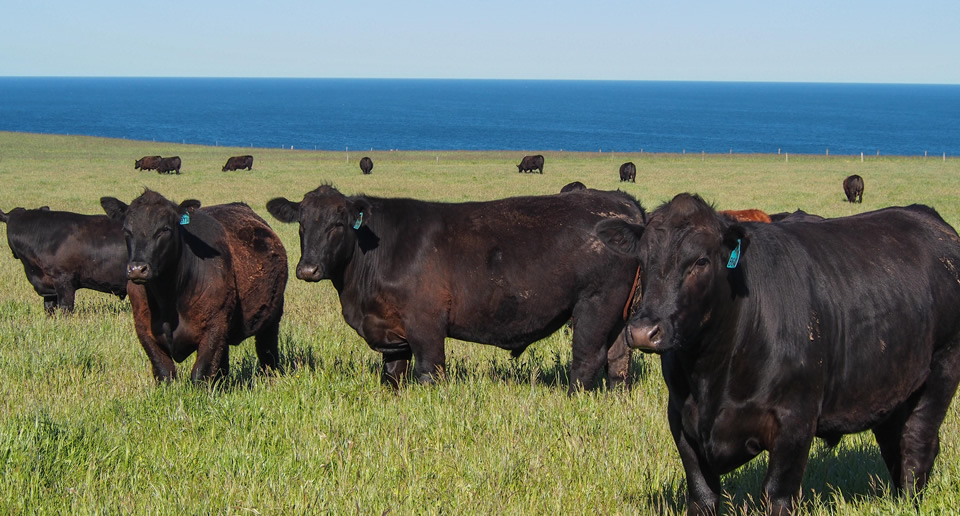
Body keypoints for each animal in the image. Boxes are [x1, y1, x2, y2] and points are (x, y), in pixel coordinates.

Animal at [103, 190, 288, 382]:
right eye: (126, 230)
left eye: (164, 229)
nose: (137, 269)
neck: (168, 298)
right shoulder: (144, 328)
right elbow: (164, 371)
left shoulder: (214, 326)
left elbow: (201, 372)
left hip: (272, 317)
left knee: (267, 350)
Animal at [266, 185, 644, 392]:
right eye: (301, 224)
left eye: (338, 225)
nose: (308, 269)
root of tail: (620, 202)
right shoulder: (392, 332)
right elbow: (392, 376)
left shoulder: (426, 325)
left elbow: (429, 372)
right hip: (618, 314)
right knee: (619, 360)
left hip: (594, 305)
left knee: (587, 359)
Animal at [596, 191, 960, 512]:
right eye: (643, 260)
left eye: (701, 261)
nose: (644, 331)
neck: (713, 374)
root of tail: (928, 219)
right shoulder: (682, 421)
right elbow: (702, 496)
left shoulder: (795, 423)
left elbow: (778, 495)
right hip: (890, 388)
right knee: (894, 444)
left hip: (942, 369)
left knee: (917, 443)